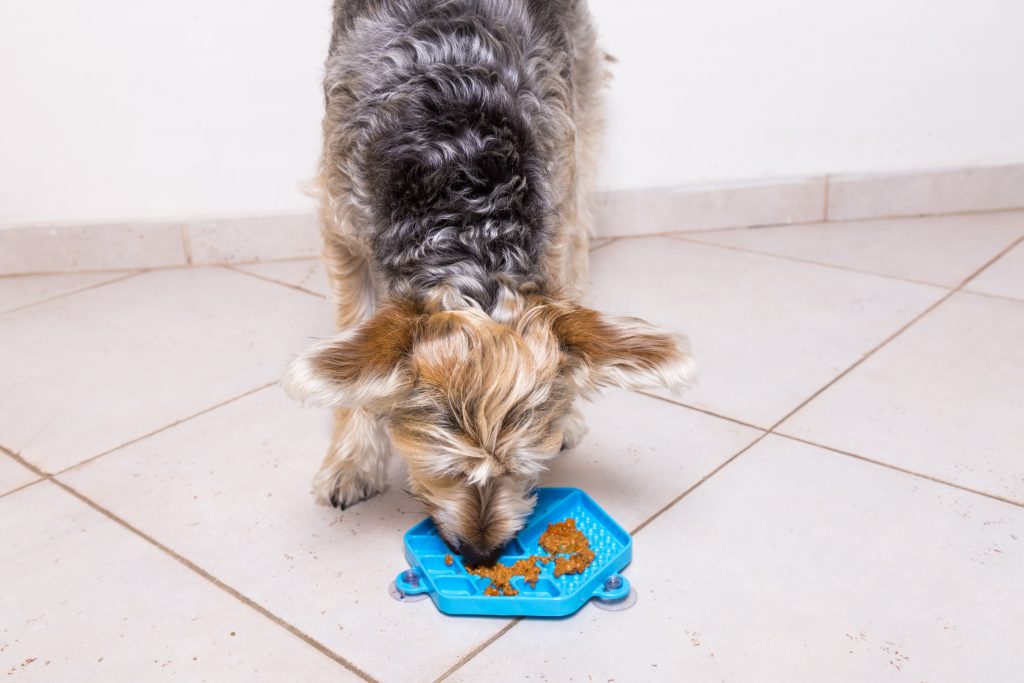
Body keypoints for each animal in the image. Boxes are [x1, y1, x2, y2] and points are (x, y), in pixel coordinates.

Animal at [284, 0, 692, 565]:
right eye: (443, 468)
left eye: (525, 467)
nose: (481, 555)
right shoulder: (342, 227)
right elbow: (356, 343)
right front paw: (352, 462)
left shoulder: (554, 207)